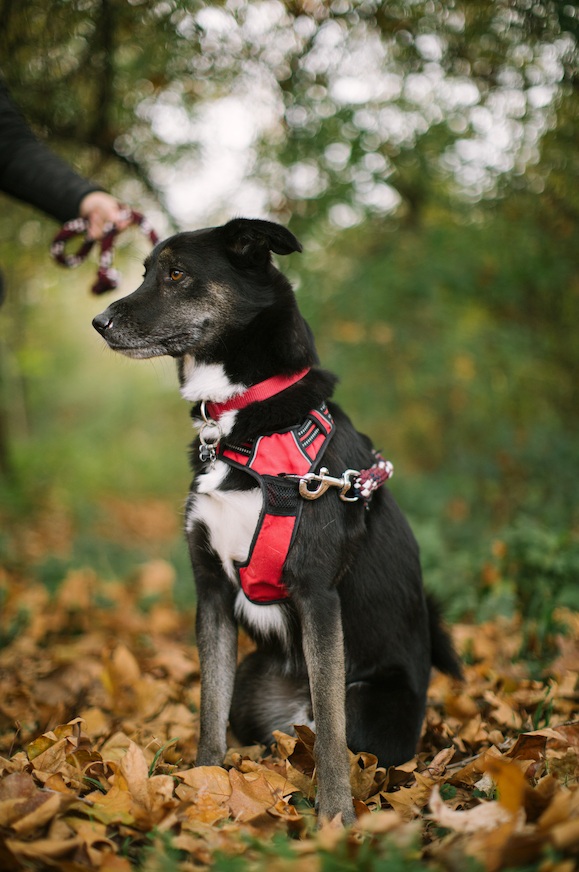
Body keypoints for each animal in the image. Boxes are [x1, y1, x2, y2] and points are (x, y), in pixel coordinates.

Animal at [93, 218, 460, 824]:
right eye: (146, 271)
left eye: (176, 273)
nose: (98, 322)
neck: (244, 424)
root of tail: (292, 713)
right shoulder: (212, 591)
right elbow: (209, 706)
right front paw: (202, 778)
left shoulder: (317, 595)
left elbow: (332, 735)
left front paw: (336, 817)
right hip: (254, 684)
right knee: (270, 732)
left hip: (368, 702)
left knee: (328, 730)